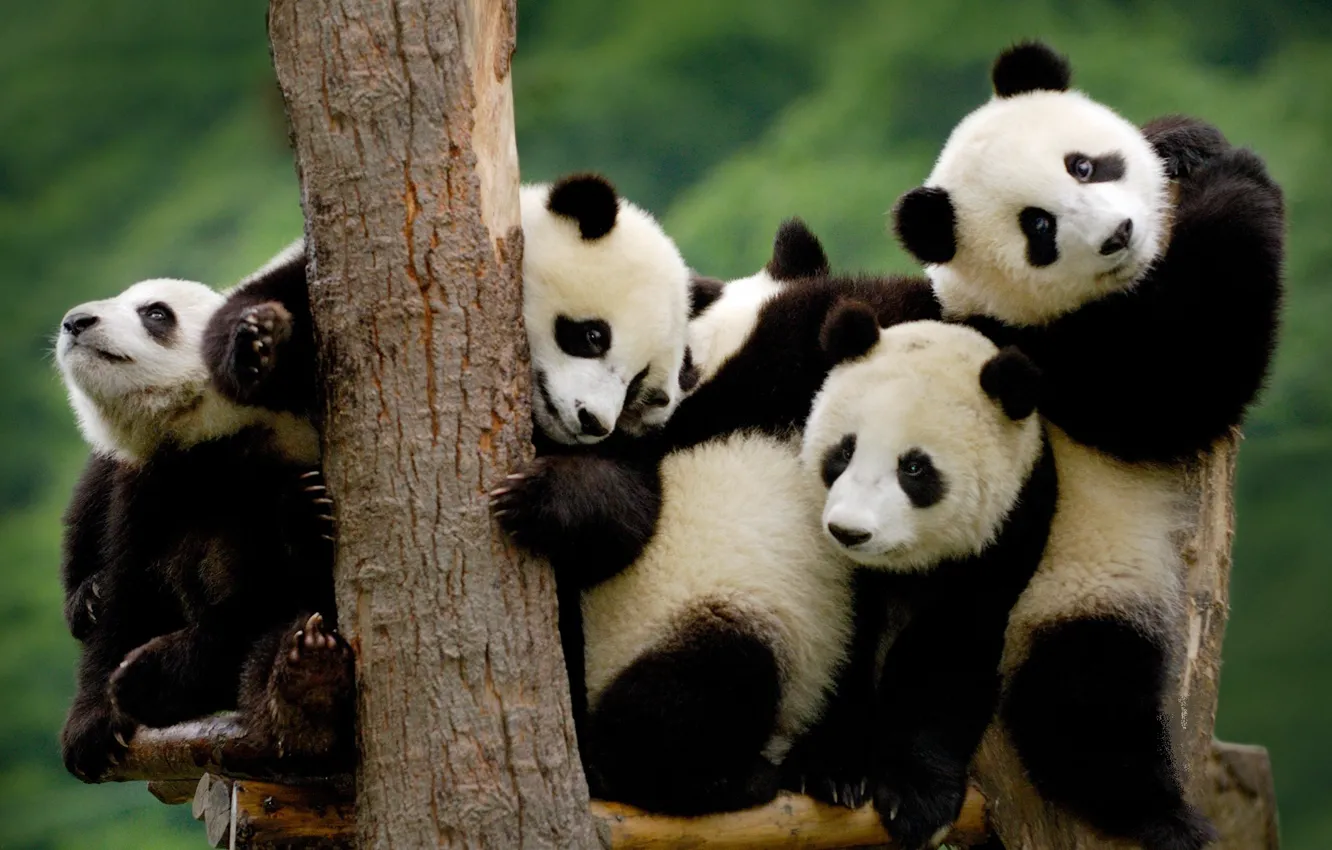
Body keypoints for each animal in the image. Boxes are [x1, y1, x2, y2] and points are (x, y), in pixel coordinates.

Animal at [55, 249, 352, 782]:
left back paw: (303, 689)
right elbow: (127, 592)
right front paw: (90, 726)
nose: (76, 321)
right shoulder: (152, 486)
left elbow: (259, 598)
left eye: (155, 313)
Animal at [789, 313, 1056, 850]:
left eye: (914, 467)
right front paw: (832, 769)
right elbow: (842, 635)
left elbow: (949, 651)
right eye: (843, 451)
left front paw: (915, 800)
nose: (850, 530)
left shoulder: (1007, 534)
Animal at [891, 41, 1284, 850]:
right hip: (1064, 590)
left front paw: (1187, 141)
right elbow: (1179, 382)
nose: (1117, 235)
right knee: (1082, 700)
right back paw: (1160, 814)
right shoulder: (1046, 357)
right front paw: (1239, 178)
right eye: (1037, 228)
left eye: (1083, 165)